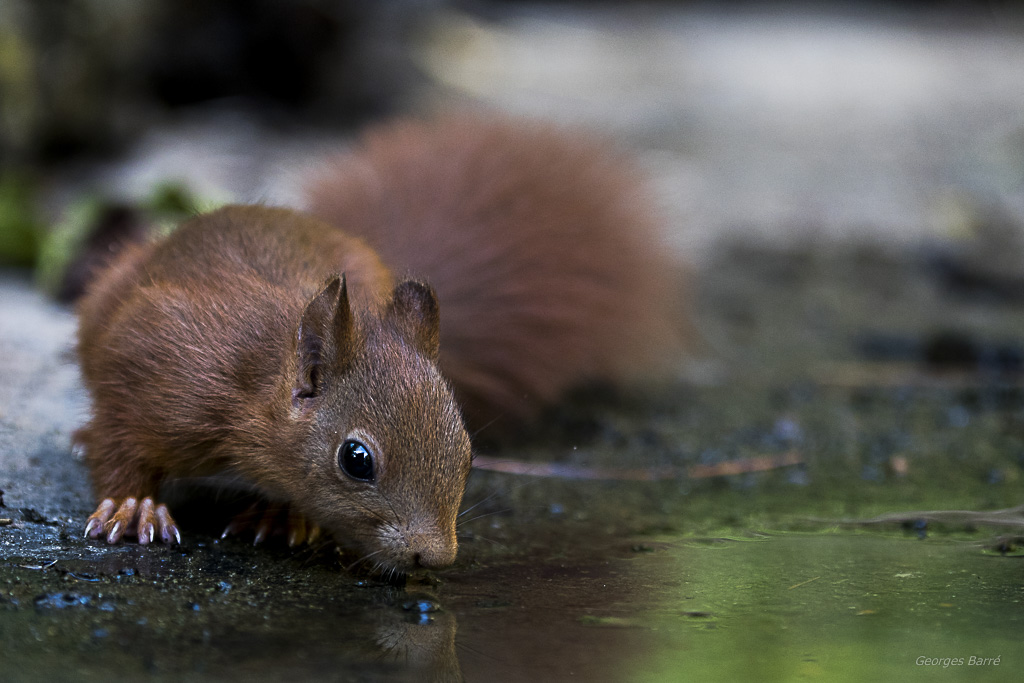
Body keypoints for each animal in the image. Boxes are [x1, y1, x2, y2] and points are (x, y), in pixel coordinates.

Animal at [75, 111, 684, 573]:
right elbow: (119, 436)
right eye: (356, 460)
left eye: (468, 452)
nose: (433, 557)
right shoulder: (159, 362)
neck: (254, 385)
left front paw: (283, 514)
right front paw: (133, 504)